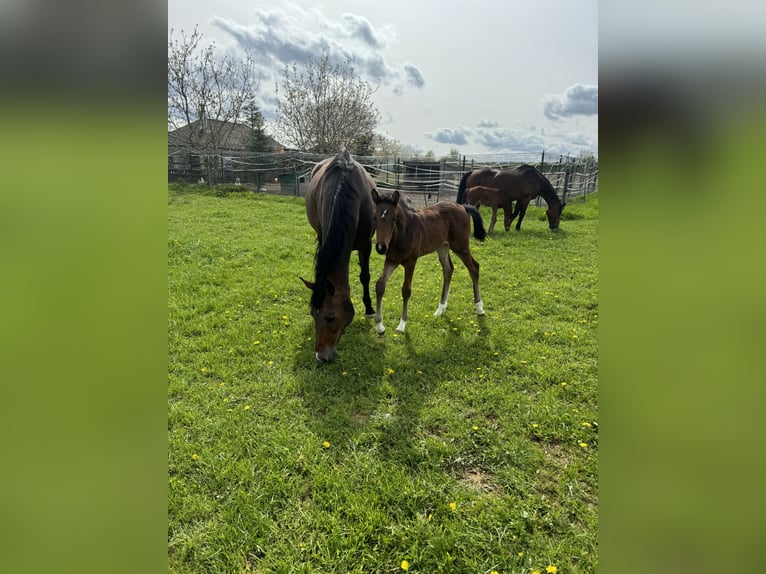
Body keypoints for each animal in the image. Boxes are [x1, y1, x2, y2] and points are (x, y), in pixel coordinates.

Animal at [302, 151, 376, 362]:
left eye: (331, 317)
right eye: (312, 314)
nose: (321, 356)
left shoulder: (366, 244)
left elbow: (365, 276)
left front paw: (369, 309)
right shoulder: (322, 236)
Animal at [370, 190, 486, 332]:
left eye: (393, 219)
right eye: (374, 218)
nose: (380, 247)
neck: (403, 234)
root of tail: (462, 207)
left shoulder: (411, 261)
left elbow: (406, 290)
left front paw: (402, 324)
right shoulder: (391, 260)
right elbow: (380, 285)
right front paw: (379, 325)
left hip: (461, 246)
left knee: (474, 267)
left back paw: (479, 308)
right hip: (443, 247)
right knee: (448, 270)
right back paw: (440, 309)